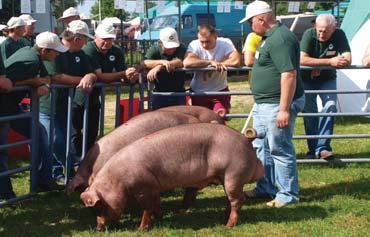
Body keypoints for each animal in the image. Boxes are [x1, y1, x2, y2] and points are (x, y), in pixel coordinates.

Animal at [80, 123, 264, 231]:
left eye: (99, 207)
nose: (97, 228)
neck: (118, 180)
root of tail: (246, 140)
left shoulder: (143, 188)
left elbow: (146, 208)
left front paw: (141, 229)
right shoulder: (153, 186)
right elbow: (156, 205)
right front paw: (160, 218)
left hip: (234, 174)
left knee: (238, 200)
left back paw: (228, 226)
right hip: (226, 178)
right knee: (230, 200)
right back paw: (223, 219)